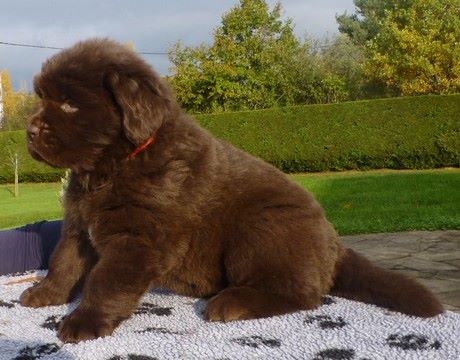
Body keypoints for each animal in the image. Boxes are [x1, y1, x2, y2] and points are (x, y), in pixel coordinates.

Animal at [19, 39, 444, 344]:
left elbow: (106, 280)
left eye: (70, 104)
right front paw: (45, 293)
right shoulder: (79, 224)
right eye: (43, 97)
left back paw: (231, 302)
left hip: (262, 227)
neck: (112, 167)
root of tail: (334, 242)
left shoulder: (138, 238)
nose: (30, 130)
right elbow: (64, 261)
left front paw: (84, 321)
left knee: (302, 293)